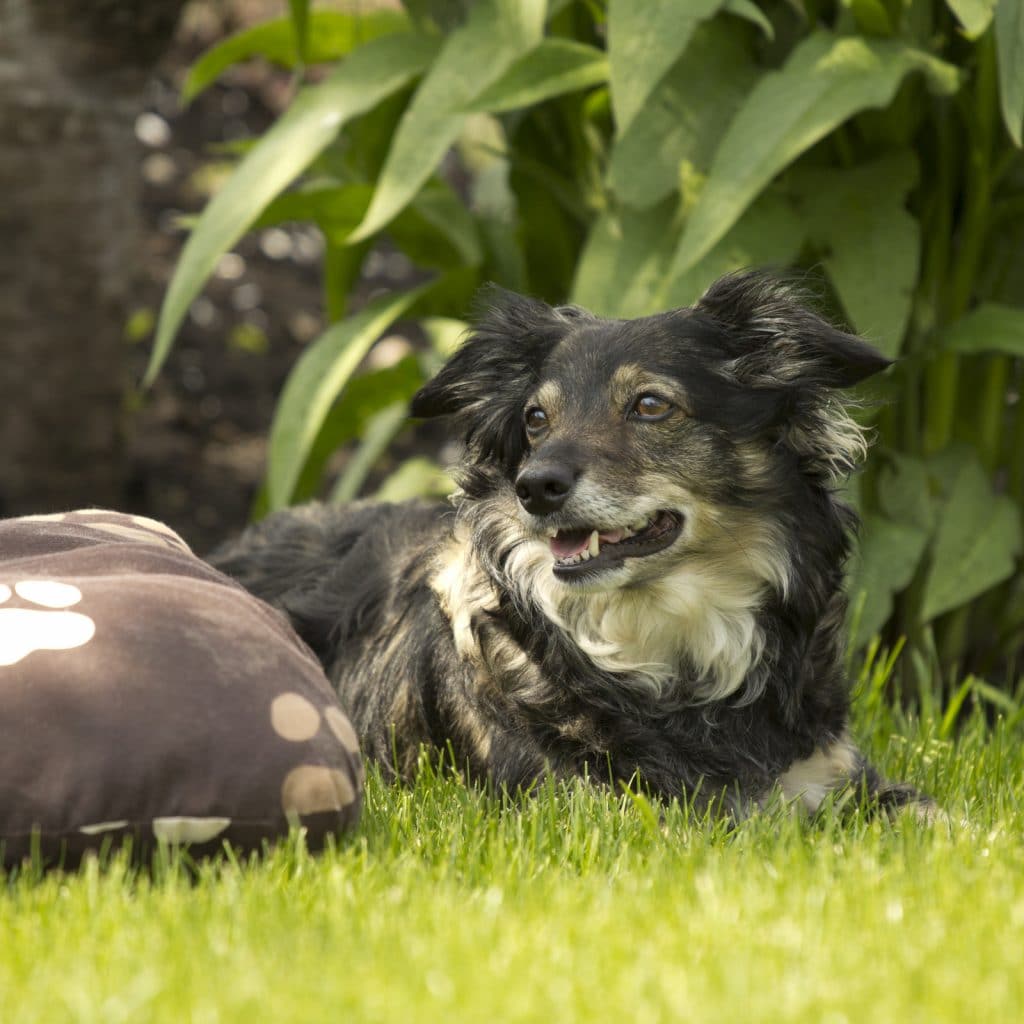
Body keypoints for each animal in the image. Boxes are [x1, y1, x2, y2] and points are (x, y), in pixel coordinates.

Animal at [211, 272, 933, 815]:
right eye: (536, 419)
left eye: (649, 405)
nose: (534, 487)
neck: (672, 640)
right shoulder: (600, 808)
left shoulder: (833, 775)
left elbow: (932, 815)